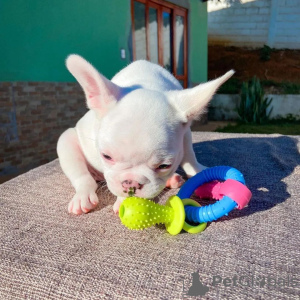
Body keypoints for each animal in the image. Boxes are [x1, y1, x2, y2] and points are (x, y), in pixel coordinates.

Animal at [56, 55, 234, 214]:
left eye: (164, 166)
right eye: (106, 156)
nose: (131, 183)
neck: (149, 84)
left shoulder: (186, 133)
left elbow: (189, 155)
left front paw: (197, 171)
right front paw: (123, 201)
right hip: (66, 141)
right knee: (83, 177)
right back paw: (83, 196)